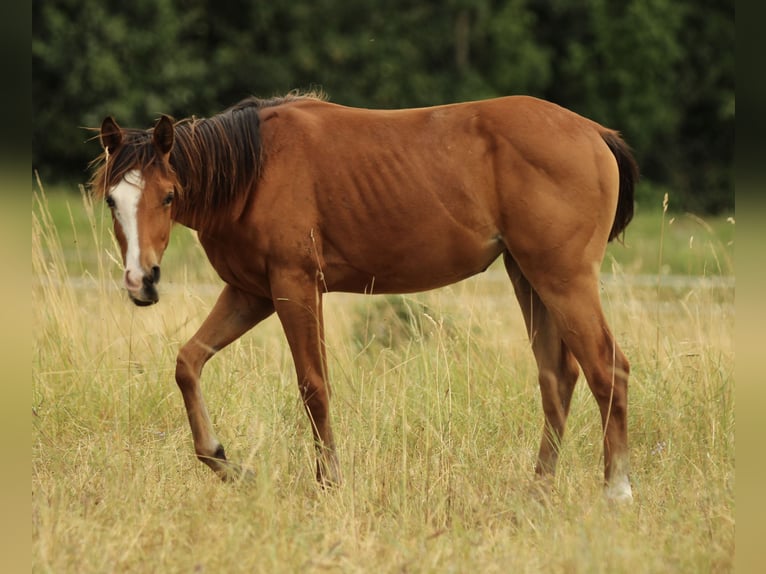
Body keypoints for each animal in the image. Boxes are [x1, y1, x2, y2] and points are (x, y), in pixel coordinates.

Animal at [90, 92, 638, 502]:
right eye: (113, 200)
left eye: (167, 196)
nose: (141, 280)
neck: (256, 169)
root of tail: (593, 133)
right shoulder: (251, 294)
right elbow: (188, 363)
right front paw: (227, 463)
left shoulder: (294, 287)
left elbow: (313, 386)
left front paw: (329, 482)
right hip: (529, 277)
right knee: (557, 377)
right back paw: (539, 490)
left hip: (563, 280)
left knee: (607, 368)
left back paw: (617, 491)